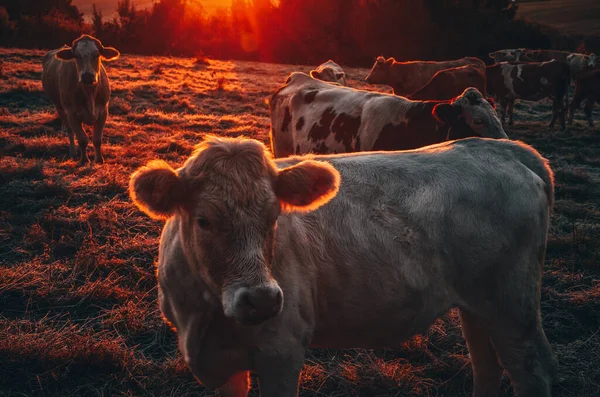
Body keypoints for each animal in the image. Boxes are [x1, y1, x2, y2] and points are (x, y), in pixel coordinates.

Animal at [41, 34, 120, 164]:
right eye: (76, 56)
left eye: (97, 54)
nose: (87, 76)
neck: (89, 94)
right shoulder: (72, 114)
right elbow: (82, 139)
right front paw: (84, 160)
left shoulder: (103, 112)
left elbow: (97, 139)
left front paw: (99, 160)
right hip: (59, 107)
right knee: (70, 131)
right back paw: (73, 152)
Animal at [130, 135, 556, 394]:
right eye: (204, 220)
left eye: (274, 216)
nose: (262, 300)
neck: (204, 317)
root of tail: (501, 147)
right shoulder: (224, 366)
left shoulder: (282, 351)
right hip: (478, 307)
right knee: (486, 362)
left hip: (512, 305)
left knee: (530, 368)